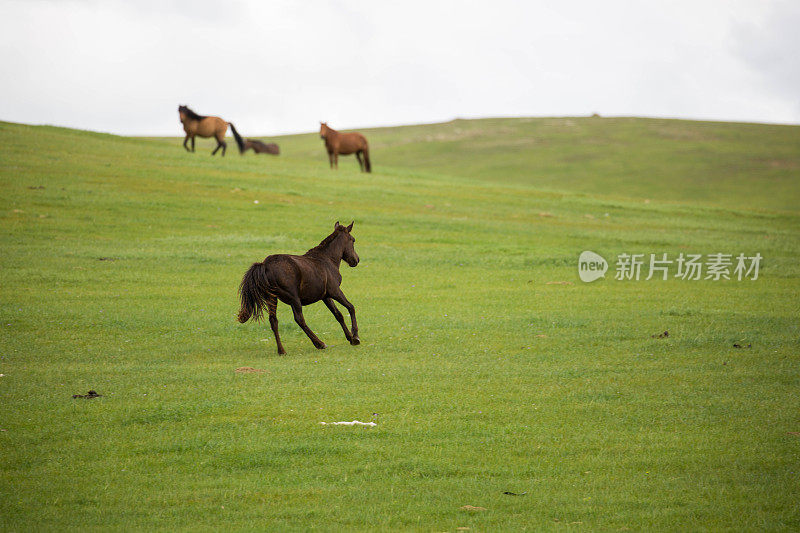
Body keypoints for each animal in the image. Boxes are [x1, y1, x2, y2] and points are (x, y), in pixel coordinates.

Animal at [238, 220, 362, 354]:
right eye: (353, 240)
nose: (356, 260)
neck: (328, 260)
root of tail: (265, 265)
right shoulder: (335, 291)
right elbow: (351, 307)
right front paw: (356, 337)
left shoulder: (326, 296)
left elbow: (338, 314)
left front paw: (350, 338)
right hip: (294, 298)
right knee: (299, 319)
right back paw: (319, 343)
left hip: (271, 298)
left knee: (273, 320)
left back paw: (282, 351)